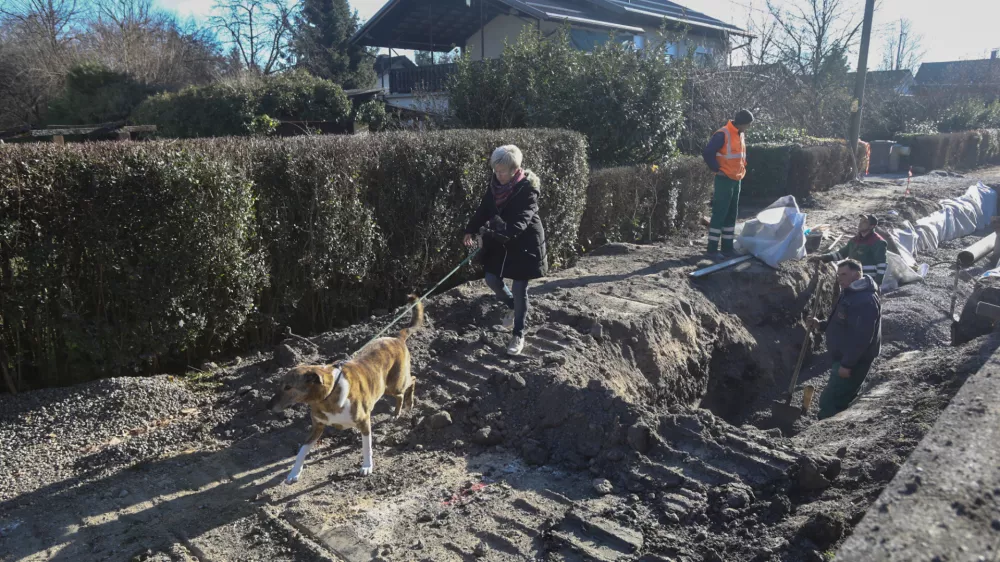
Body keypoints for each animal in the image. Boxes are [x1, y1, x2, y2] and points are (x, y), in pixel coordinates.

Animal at [266, 294, 422, 482]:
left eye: (288, 387)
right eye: (279, 385)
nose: (268, 406)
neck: (327, 396)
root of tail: (397, 338)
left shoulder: (364, 421)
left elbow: (367, 447)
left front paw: (367, 466)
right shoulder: (317, 426)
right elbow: (302, 450)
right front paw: (293, 473)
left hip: (395, 383)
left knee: (412, 380)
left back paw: (408, 403)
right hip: (387, 387)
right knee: (400, 394)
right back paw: (396, 412)